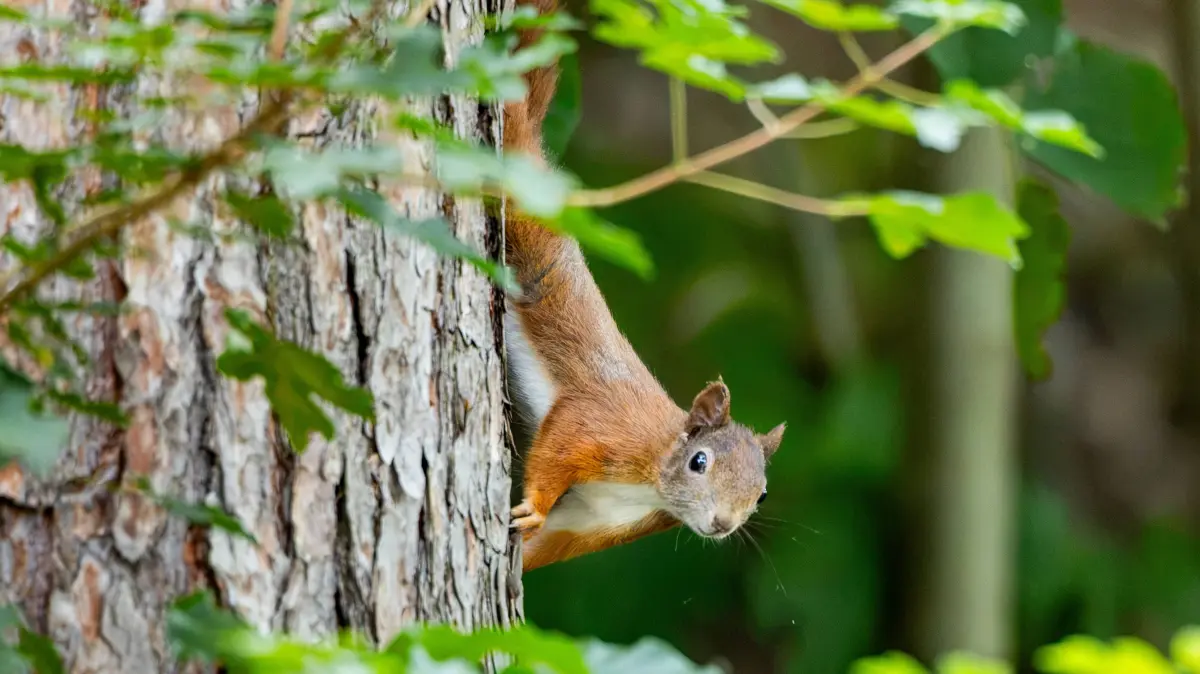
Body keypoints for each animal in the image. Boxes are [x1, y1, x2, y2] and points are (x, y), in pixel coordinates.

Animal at [500, 0, 786, 572]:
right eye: (699, 461)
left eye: (763, 494)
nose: (722, 524)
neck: (650, 480)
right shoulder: (605, 428)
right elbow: (561, 441)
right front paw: (533, 507)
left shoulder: (596, 520)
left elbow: (548, 545)